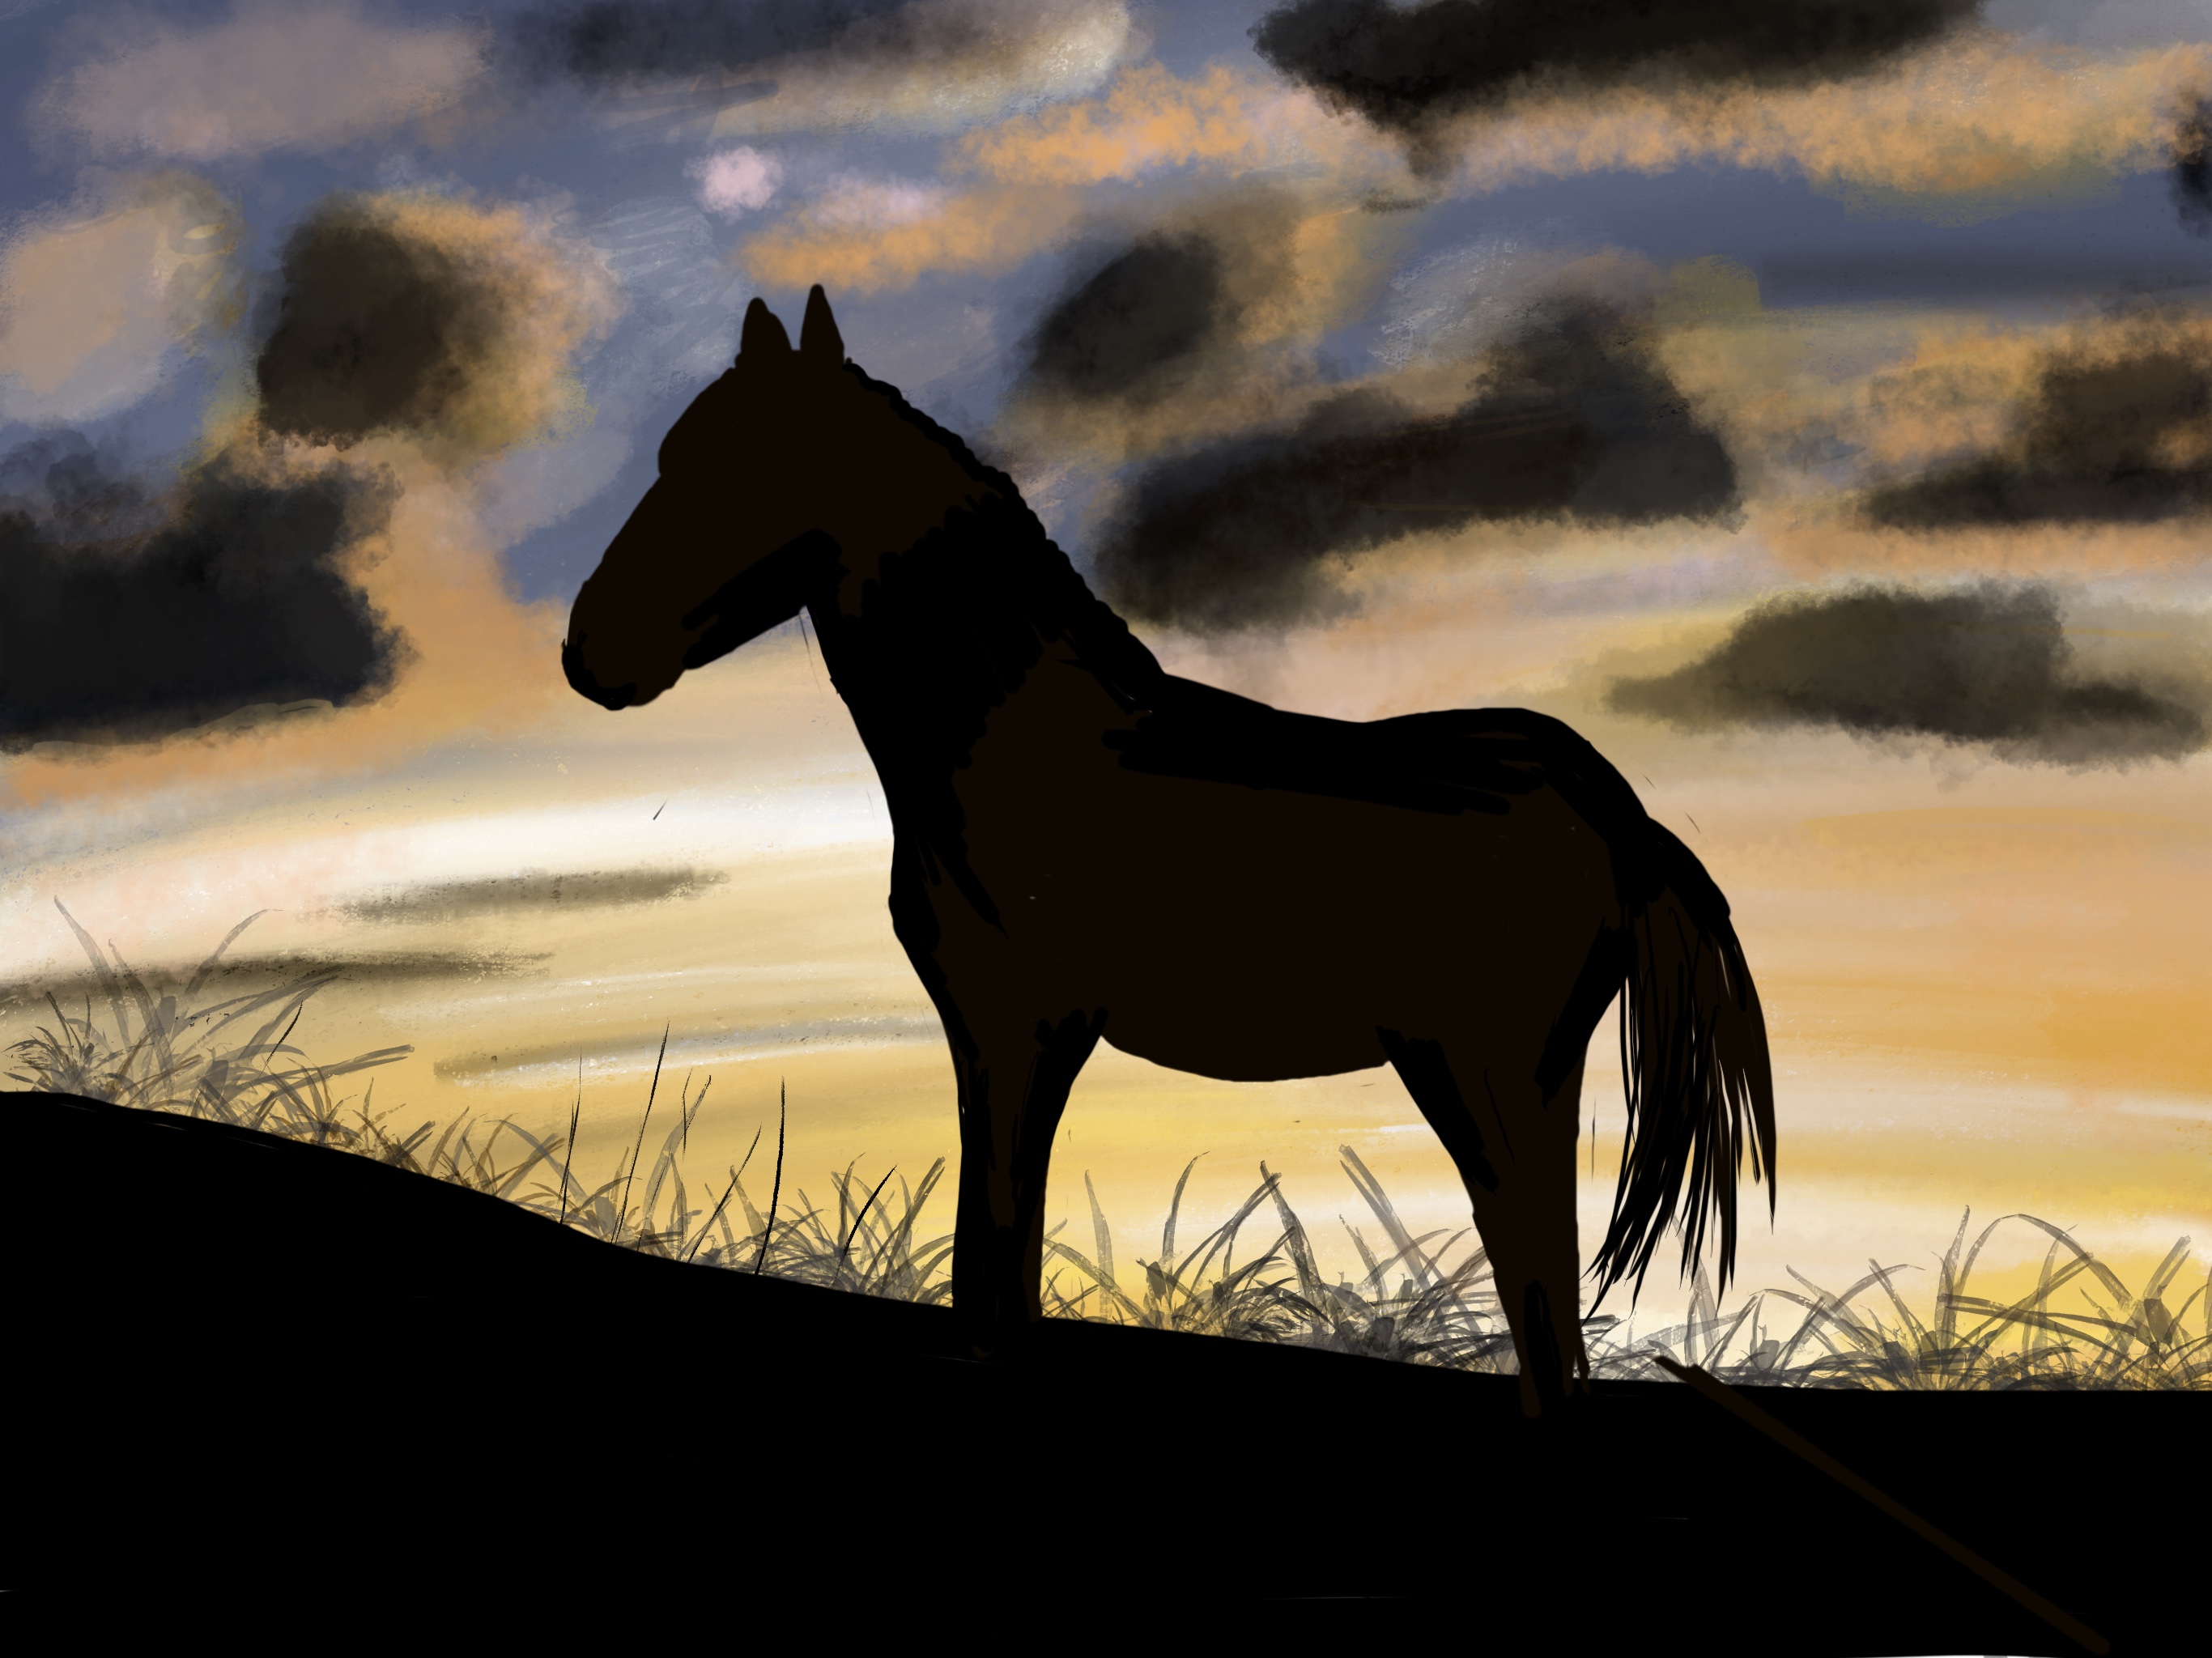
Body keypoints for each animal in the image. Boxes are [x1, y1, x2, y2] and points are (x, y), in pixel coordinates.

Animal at [562, 286, 1776, 1416]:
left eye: (740, 467)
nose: (589, 652)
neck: (1019, 743)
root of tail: (1611, 806)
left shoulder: (1017, 1028)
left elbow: (993, 1261)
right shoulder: (1003, 1038)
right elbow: (999, 1257)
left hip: (1486, 1077)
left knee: (1537, 1297)